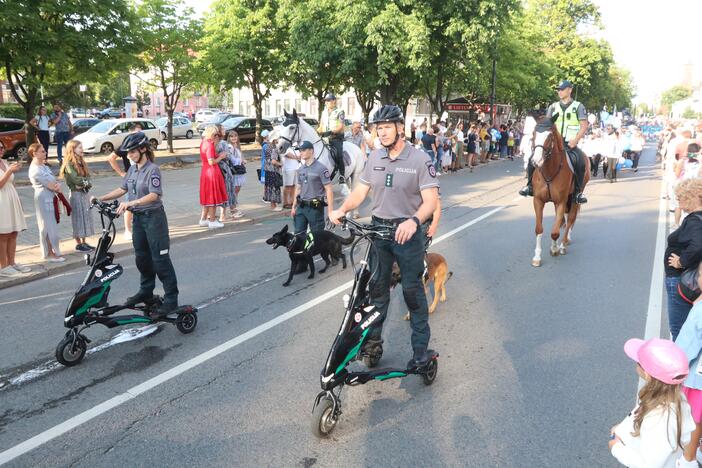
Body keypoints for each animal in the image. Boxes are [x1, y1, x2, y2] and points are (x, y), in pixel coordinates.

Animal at [528, 114, 588, 266]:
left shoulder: (561, 201)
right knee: (563, 221)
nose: (535, 161)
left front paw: (555, 249)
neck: (550, 170)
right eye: (534, 133)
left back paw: (563, 244)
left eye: (550, 135)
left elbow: (555, 232)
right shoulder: (538, 200)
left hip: (574, 198)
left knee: (570, 219)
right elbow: (539, 229)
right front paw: (537, 257)